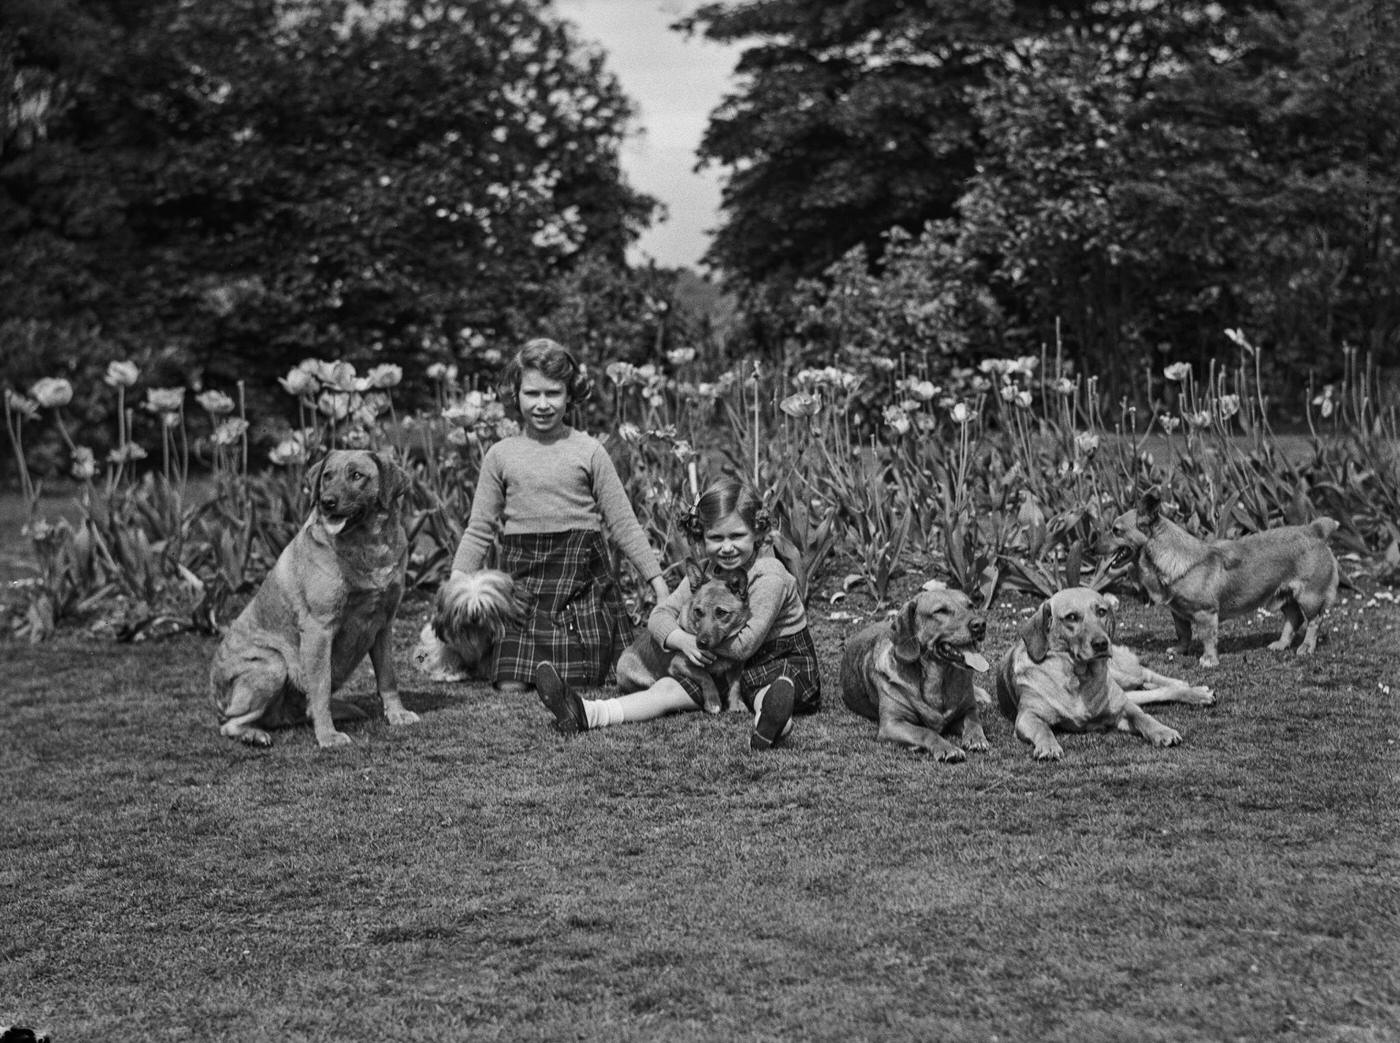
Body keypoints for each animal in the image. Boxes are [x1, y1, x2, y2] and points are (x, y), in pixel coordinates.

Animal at [207, 448, 414, 750]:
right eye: (327, 476)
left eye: (357, 475)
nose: (327, 503)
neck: (367, 546)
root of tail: (215, 699)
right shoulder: (319, 629)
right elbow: (320, 687)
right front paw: (328, 736)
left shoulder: (384, 624)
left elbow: (388, 677)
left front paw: (397, 714)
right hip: (273, 665)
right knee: (230, 723)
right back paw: (254, 734)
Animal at [834, 576, 991, 756]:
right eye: (941, 611)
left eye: (971, 606)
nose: (980, 624)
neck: (939, 678)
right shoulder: (892, 724)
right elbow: (925, 731)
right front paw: (946, 748)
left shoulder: (968, 708)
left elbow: (974, 720)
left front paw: (976, 738)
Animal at [996, 585, 1215, 756]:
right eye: (1071, 617)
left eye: (1101, 611)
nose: (1101, 643)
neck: (1078, 678)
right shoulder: (1027, 716)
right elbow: (1043, 730)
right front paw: (1048, 746)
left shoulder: (1123, 707)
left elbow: (1144, 717)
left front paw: (1163, 731)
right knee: (1155, 691)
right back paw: (1196, 692)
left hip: (1122, 676)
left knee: (1146, 675)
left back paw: (1193, 690)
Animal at [1114, 490, 1332, 666]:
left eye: (1116, 530)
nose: (1095, 544)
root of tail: (1313, 529)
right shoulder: (1178, 613)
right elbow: (1183, 633)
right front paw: (1180, 650)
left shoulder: (1206, 613)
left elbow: (1208, 637)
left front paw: (1209, 660)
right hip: (1284, 595)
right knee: (1294, 618)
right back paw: (1281, 644)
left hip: (1309, 597)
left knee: (1314, 621)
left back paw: (1306, 647)